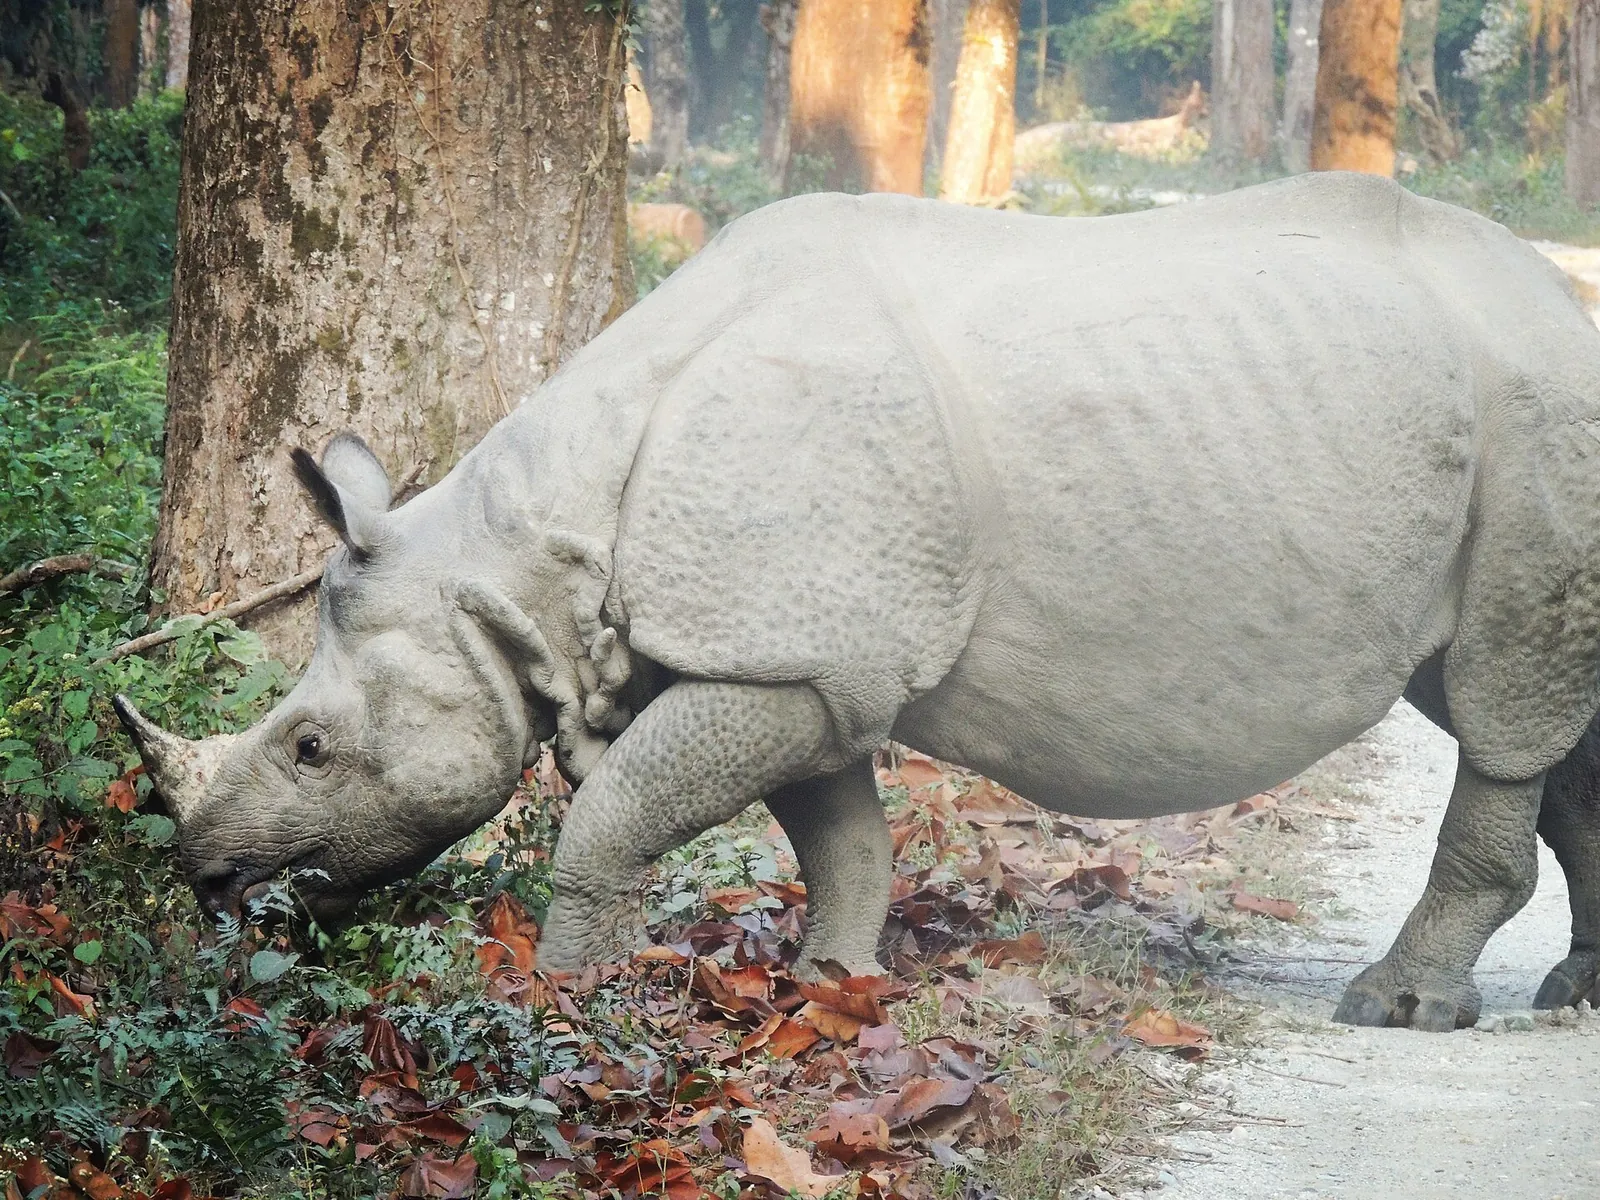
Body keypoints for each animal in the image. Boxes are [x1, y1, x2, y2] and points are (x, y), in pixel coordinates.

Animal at [116, 172, 1600, 1031]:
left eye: (312, 747)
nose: (210, 882)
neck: (513, 567)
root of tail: (1564, 301)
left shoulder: (784, 656)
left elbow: (611, 820)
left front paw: (573, 993)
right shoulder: (802, 662)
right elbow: (842, 839)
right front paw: (831, 987)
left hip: (1544, 415)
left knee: (1507, 705)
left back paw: (1397, 1008)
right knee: (1546, 714)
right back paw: (1572, 998)